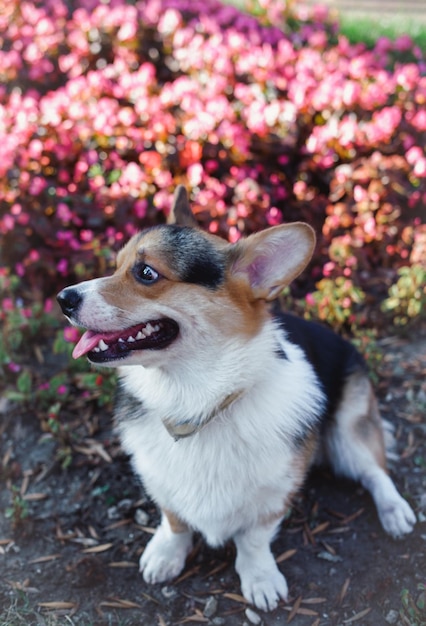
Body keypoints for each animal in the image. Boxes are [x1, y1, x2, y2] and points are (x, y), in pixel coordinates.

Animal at [57, 184, 416, 608]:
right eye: (116, 265)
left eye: (146, 273)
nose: (63, 298)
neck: (196, 402)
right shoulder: (160, 478)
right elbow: (174, 521)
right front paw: (165, 555)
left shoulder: (275, 492)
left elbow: (254, 539)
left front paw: (260, 579)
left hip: (349, 430)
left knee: (376, 471)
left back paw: (395, 511)